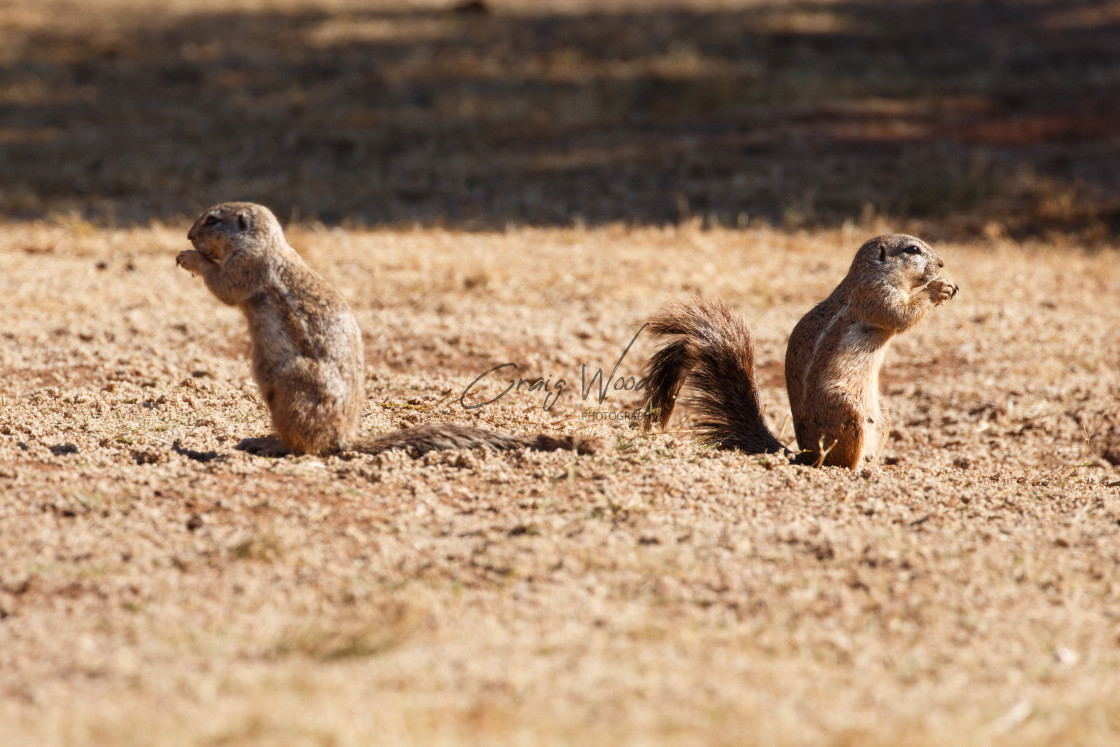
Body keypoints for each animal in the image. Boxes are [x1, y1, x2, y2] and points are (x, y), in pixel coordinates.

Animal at [175, 202, 595, 456]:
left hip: (292, 387)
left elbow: (224, 286)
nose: (188, 234)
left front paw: (191, 258)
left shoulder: (246, 267)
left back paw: (268, 445)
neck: (268, 243)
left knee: (308, 448)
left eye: (212, 220)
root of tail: (344, 438)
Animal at [636, 234, 958, 468]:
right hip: (845, 408)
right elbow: (900, 315)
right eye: (912, 249)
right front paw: (937, 289)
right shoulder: (876, 296)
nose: (943, 262)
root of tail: (804, 454)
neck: (868, 274)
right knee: (836, 462)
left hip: (883, 411)